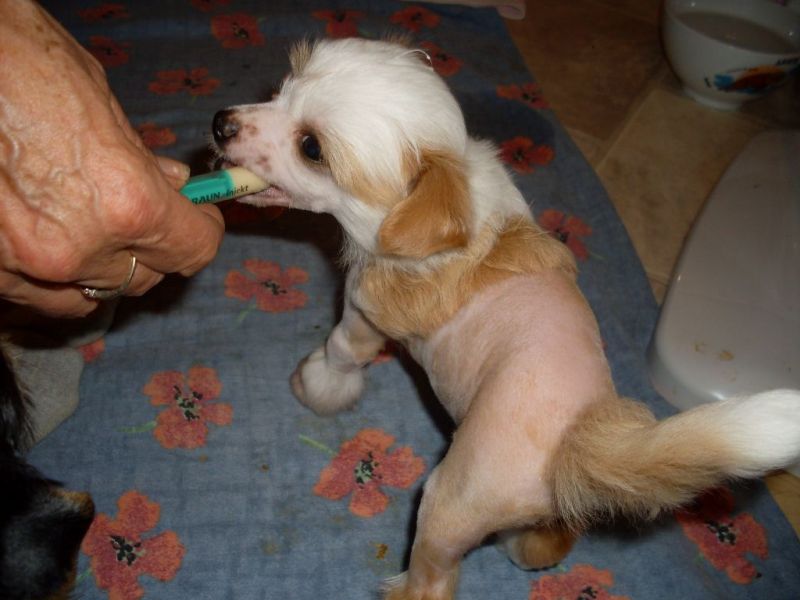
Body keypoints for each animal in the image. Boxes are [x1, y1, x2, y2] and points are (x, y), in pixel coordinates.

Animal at [211, 38, 800, 600]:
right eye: (282, 87)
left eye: (311, 148)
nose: (219, 122)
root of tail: (577, 451)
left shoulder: (363, 309)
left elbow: (340, 352)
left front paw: (316, 386)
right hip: (538, 515)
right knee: (550, 541)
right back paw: (523, 546)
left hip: (446, 504)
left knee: (433, 583)